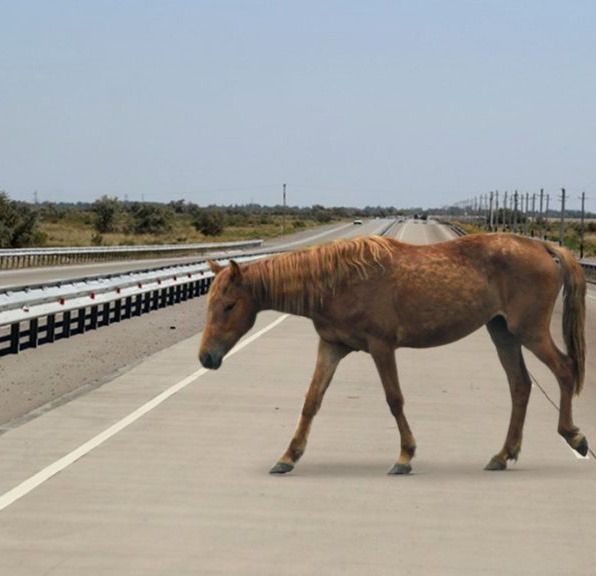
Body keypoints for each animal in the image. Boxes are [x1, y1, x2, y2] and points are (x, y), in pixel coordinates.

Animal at [199, 232, 588, 474]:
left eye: (229, 305)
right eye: (210, 304)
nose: (206, 357)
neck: (338, 281)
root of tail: (544, 248)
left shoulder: (381, 347)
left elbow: (394, 399)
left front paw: (405, 456)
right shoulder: (332, 347)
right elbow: (312, 401)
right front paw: (288, 456)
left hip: (530, 332)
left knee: (564, 369)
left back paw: (574, 435)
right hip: (502, 332)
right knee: (520, 385)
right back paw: (503, 454)